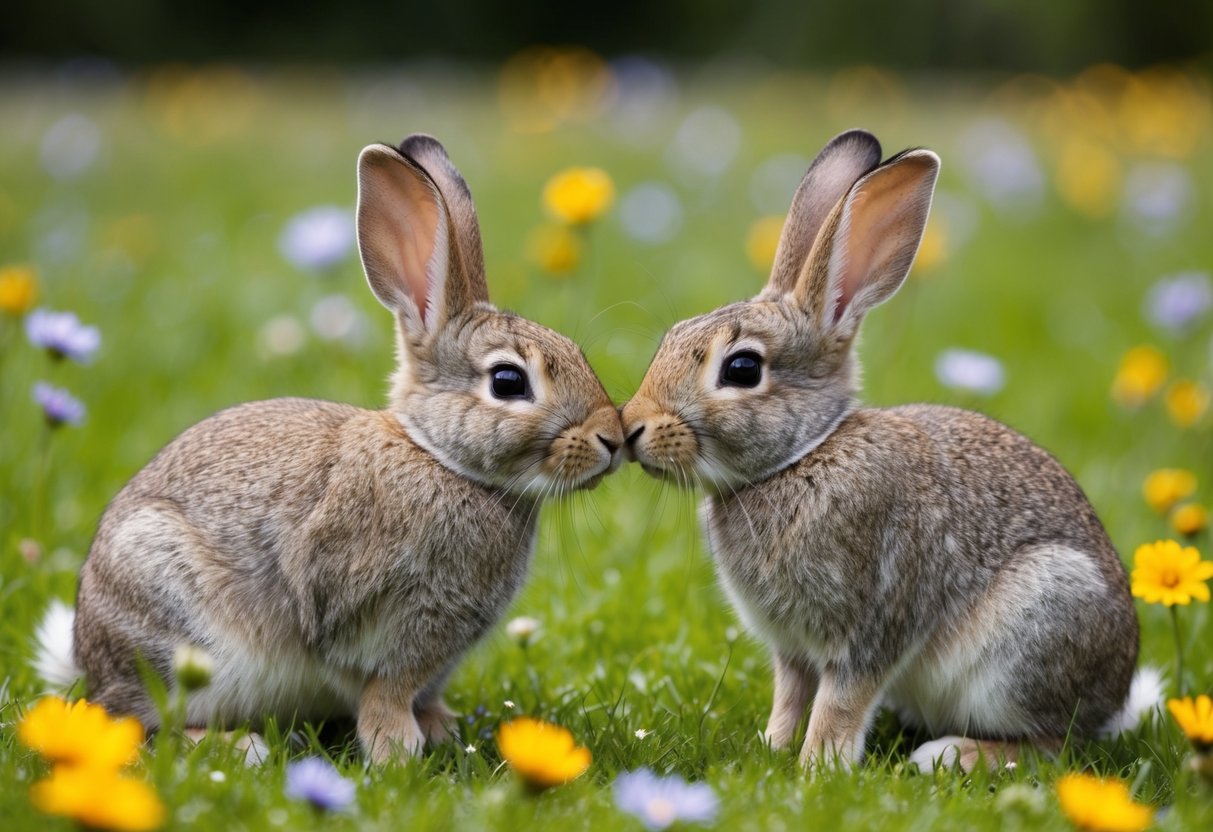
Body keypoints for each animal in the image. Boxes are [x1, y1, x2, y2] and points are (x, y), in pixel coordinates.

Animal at [35, 134, 625, 763]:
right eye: (508, 382)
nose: (612, 439)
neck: (438, 458)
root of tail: (89, 661)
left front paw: (438, 728)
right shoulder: (375, 618)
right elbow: (383, 688)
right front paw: (396, 752)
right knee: (141, 725)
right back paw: (239, 746)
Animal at [620, 129, 1151, 772]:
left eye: (742, 369)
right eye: (672, 338)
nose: (631, 426)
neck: (803, 456)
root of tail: (1116, 699)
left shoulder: (872, 624)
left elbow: (840, 703)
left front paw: (818, 768)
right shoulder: (793, 648)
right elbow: (791, 695)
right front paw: (773, 748)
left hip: (1037, 627)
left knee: (1055, 744)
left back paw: (949, 755)